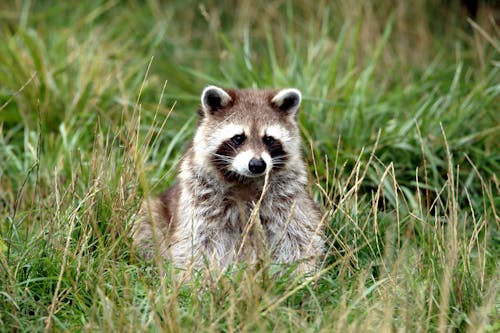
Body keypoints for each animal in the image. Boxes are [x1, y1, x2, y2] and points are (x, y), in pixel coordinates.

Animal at [134, 85, 324, 272]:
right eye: (238, 138)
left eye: (269, 139)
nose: (257, 165)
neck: (245, 180)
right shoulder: (200, 198)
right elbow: (198, 242)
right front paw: (203, 276)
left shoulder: (287, 196)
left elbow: (299, 236)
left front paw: (299, 273)